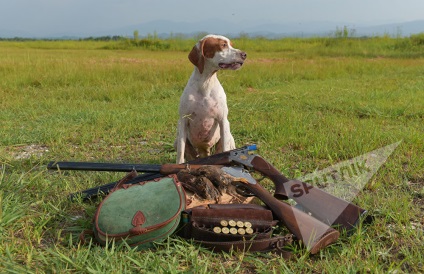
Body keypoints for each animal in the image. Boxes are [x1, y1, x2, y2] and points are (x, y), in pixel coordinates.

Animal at [176, 34, 248, 163]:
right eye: (223, 45)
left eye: (231, 45)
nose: (244, 54)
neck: (206, 83)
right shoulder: (183, 121)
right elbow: (180, 153)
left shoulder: (223, 120)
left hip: (229, 136)